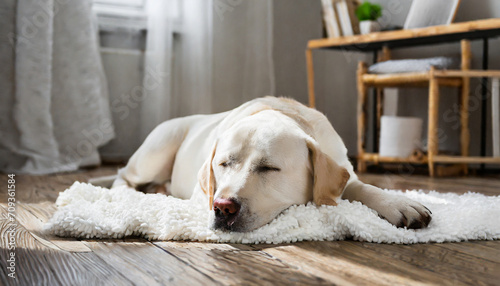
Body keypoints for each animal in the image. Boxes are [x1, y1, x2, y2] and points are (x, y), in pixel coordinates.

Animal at [111, 97, 432, 231]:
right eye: (223, 164)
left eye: (268, 168)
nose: (222, 207)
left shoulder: (342, 171)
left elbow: (361, 187)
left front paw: (399, 203)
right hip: (158, 148)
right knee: (121, 175)